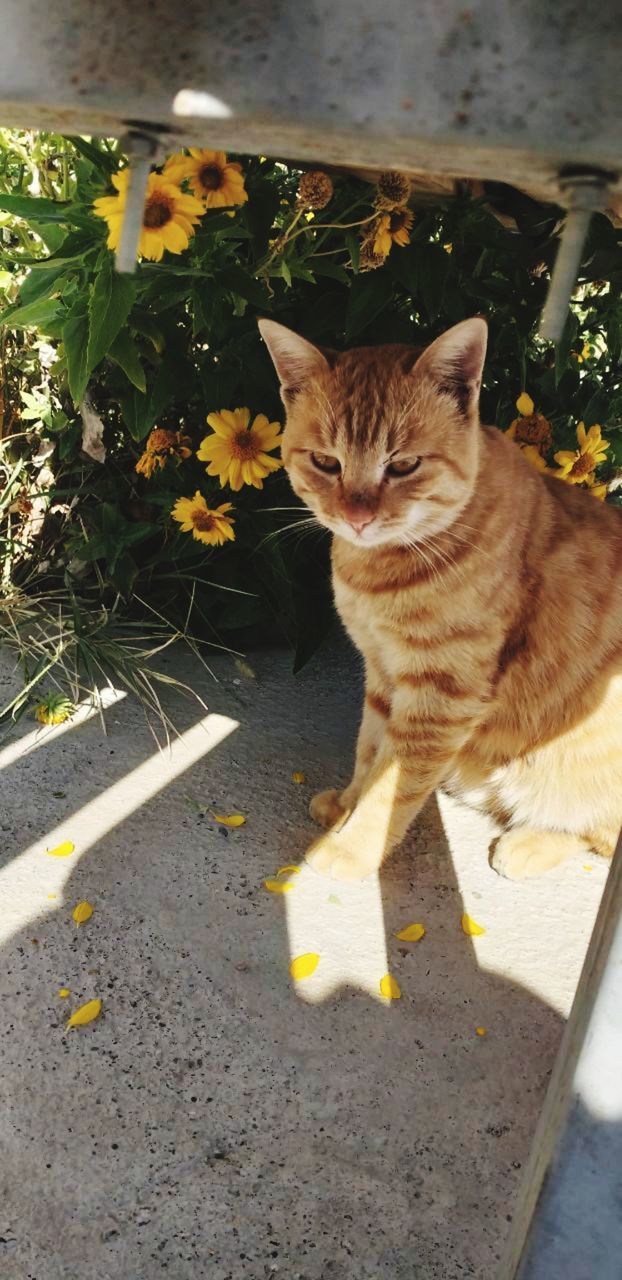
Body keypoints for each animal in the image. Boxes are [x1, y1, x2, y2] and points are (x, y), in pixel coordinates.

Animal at [259, 314, 622, 885]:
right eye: (325, 462)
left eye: (404, 465)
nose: (357, 517)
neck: (377, 572)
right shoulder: (383, 674)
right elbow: (370, 751)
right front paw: (347, 804)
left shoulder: (443, 696)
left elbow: (392, 788)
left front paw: (353, 847)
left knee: (596, 832)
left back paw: (529, 843)